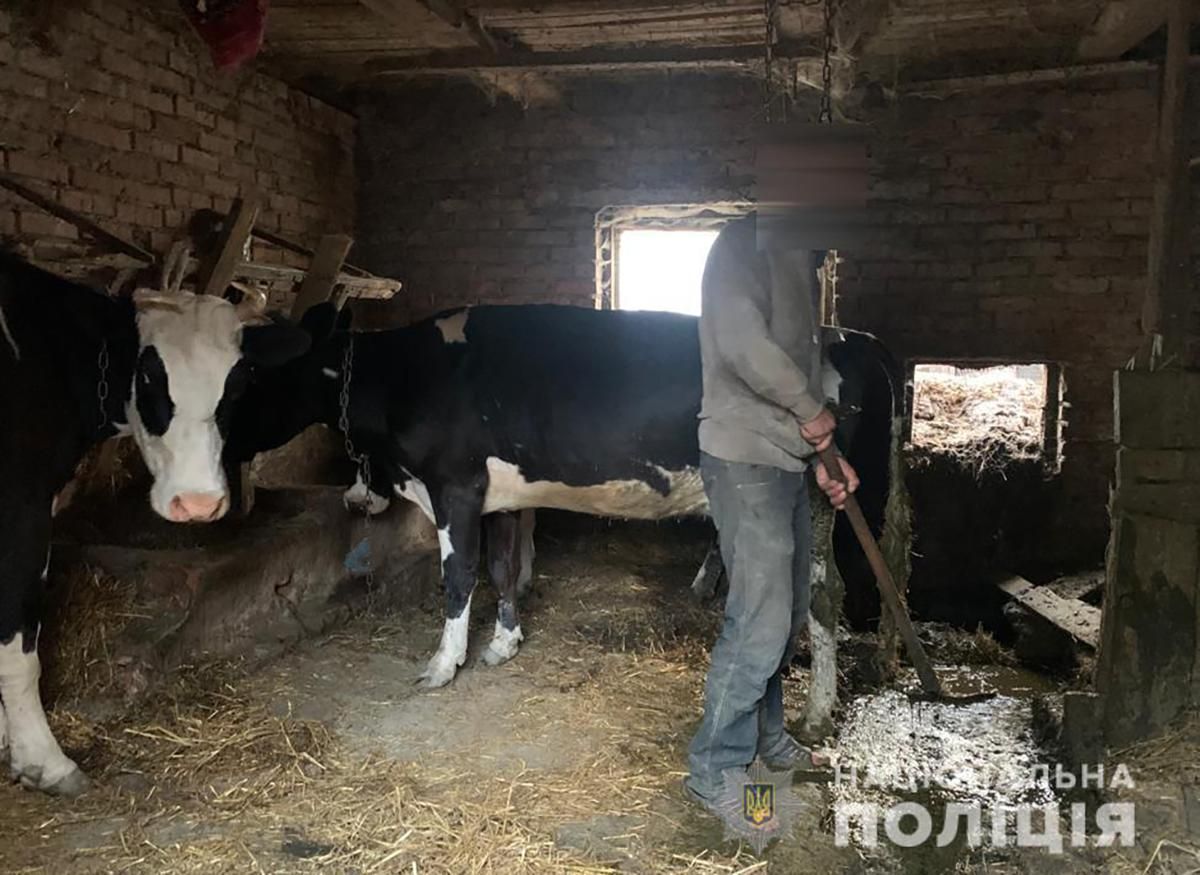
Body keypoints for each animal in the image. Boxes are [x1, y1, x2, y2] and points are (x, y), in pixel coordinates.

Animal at [1, 250, 309, 792]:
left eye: (239, 382)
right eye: (147, 375)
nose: (198, 502)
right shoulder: (22, 504)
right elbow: (19, 649)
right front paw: (44, 760)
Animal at [223, 303, 902, 724]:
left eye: (250, 372)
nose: (219, 442)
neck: (409, 376)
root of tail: (850, 337)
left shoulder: (455, 488)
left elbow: (458, 578)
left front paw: (443, 664)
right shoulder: (498, 494)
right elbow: (501, 569)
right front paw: (503, 644)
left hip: (819, 495)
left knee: (823, 593)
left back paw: (816, 710)